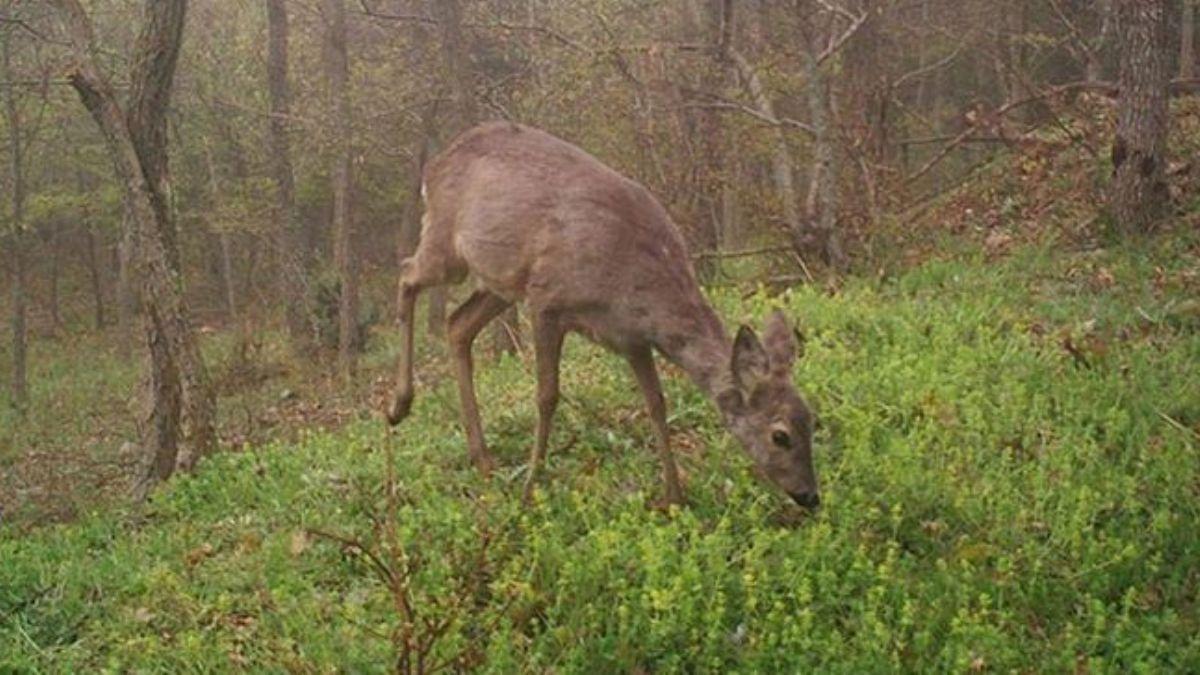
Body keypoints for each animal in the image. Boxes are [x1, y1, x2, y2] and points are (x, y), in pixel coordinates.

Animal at [388, 120, 820, 504]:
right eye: (780, 435)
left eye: (811, 421)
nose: (810, 496)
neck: (633, 280)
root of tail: (434, 165)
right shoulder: (548, 302)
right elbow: (547, 396)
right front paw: (531, 487)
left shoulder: (631, 338)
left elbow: (656, 403)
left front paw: (674, 497)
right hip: (449, 247)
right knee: (407, 274)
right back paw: (399, 406)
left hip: (501, 282)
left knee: (457, 324)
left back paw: (482, 458)